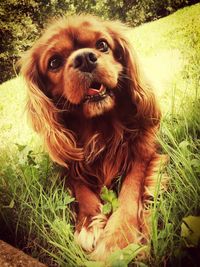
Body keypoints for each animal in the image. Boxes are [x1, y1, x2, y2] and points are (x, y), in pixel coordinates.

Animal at [19, 14, 166, 262]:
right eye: (54, 62)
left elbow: (130, 189)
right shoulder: (70, 167)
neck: (100, 127)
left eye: (102, 45)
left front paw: (117, 239)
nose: (84, 58)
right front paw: (89, 225)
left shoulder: (143, 153)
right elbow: (82, 191)